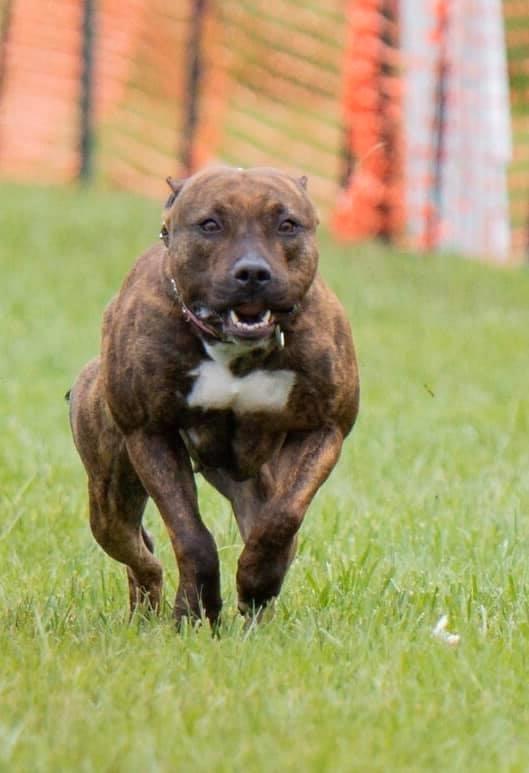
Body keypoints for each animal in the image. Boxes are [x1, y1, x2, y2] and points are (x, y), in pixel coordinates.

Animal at [68, 166, 359, 625]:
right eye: (210, 224)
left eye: (287, 224)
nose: (253, 272)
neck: (233, 348)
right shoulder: (150, 435)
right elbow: (191, 535)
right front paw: (200, 607)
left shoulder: (325, 430)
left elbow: (282, 520)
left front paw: (256, 583)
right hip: (110, 492)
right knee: (140, 552)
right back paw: (155, 610)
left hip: (253, 480)